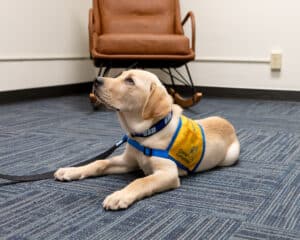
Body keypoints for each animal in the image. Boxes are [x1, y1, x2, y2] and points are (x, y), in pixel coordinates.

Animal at [55, 69, 240, 210]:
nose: (96, 80)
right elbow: (100, 162)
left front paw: (120, 195)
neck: (145, 134)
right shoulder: (128, 162)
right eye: (120, 75)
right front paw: (71, 171)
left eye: (130, 81)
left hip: (230, 157)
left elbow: (141, 181)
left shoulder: (168, 173)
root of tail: (227, 122)